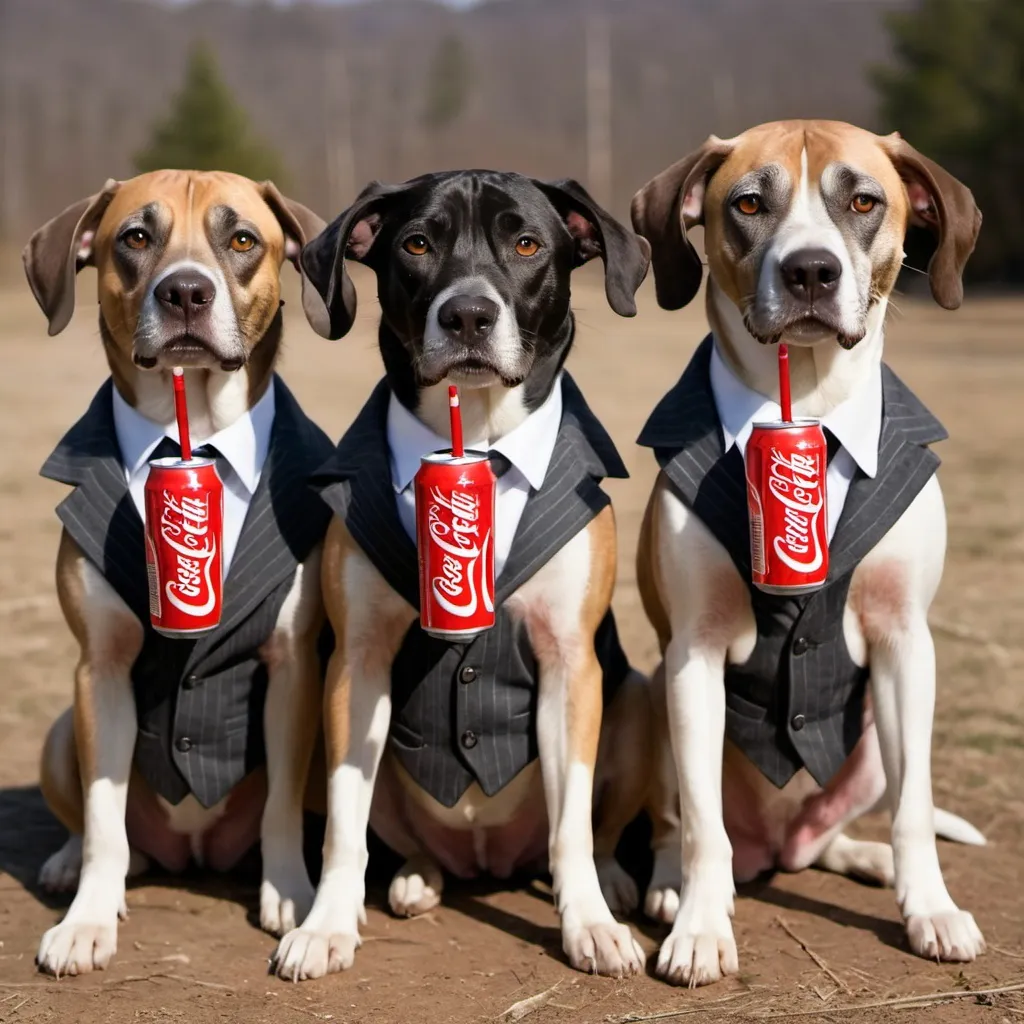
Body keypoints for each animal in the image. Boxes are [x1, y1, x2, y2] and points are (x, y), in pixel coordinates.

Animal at [24, 174, 329, 974]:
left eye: (243, 239)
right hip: (62, 731)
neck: (189, 434)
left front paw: (292, 895)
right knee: (86, 820)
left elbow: (282, 803)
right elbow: (103, 816)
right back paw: (63, 866)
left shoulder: (292, 666)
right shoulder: (99, 669)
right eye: (135, 237)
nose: (186, 292)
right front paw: (87, 920)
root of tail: (194, 851)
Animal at [630, 119, 983, 983]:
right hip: (651, 698)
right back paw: (670, 885)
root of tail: (775, 847)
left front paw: (931, 910)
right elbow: (701, 821)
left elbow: (915, 811)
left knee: (830, 841)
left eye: (864, 201)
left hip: (871, 751)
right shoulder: (692, 655)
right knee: (681, 824)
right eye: (749, 203)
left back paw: (866, 860)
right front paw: (699, 928)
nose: (811, 270)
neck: (810, 405)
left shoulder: (904, 643)